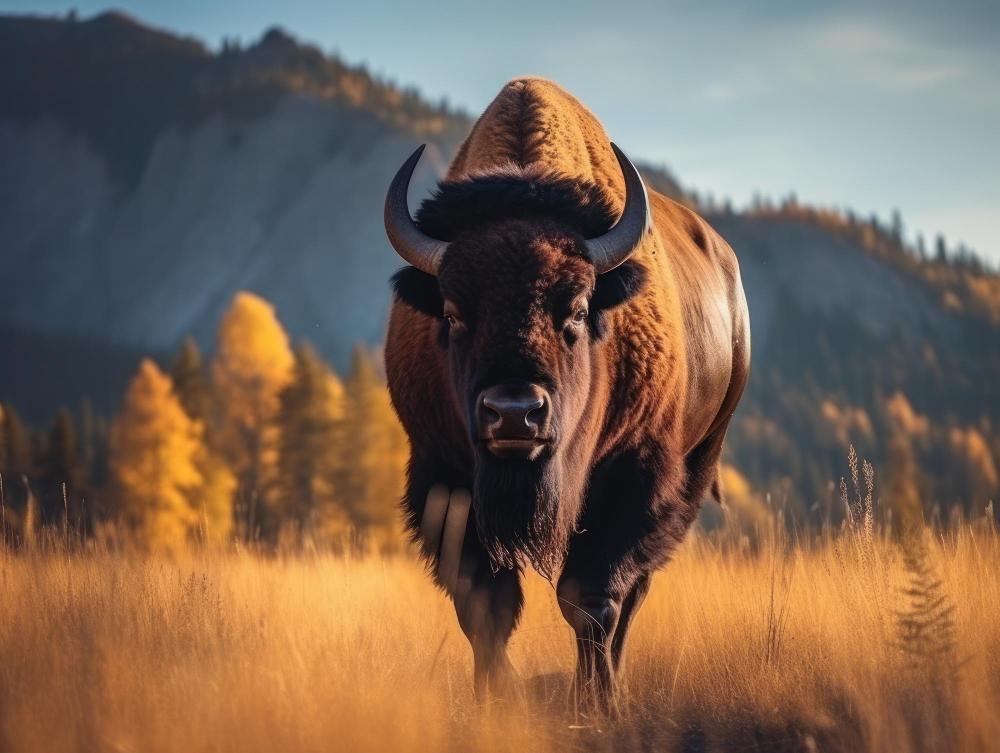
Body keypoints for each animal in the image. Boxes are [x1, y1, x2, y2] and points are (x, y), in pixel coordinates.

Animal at [382, 78, 752, 704]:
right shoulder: (445, 475)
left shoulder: (629, 475)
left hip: (698, 462)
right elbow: (484, 605)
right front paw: (495, 701)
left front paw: (595, 702)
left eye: (577, 311)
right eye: (453, 315)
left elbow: (589, 599)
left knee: (634, 591)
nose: (514, 414)